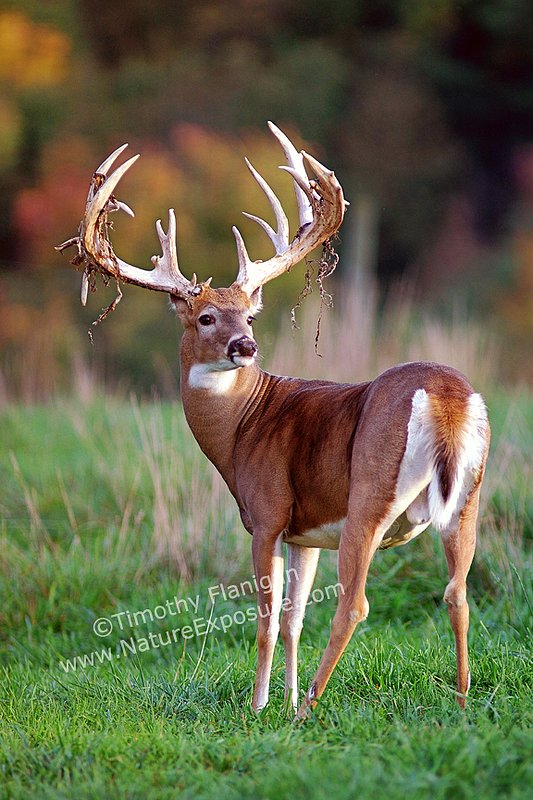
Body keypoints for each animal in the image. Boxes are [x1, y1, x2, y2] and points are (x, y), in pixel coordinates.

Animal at [58, 122, 490, 719]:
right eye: (206, 316)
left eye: (250, 315)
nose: (245, 345)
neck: (243, 427)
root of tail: (447, 399)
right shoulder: (303, 532)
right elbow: (292, 620)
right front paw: (281, 702)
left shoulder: (266, 513)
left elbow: (265, 621)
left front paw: (262, 705)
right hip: (468, 497)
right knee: (458, 592)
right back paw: (461, 699)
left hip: (370, 493)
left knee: (356, 604)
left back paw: (313, 701)